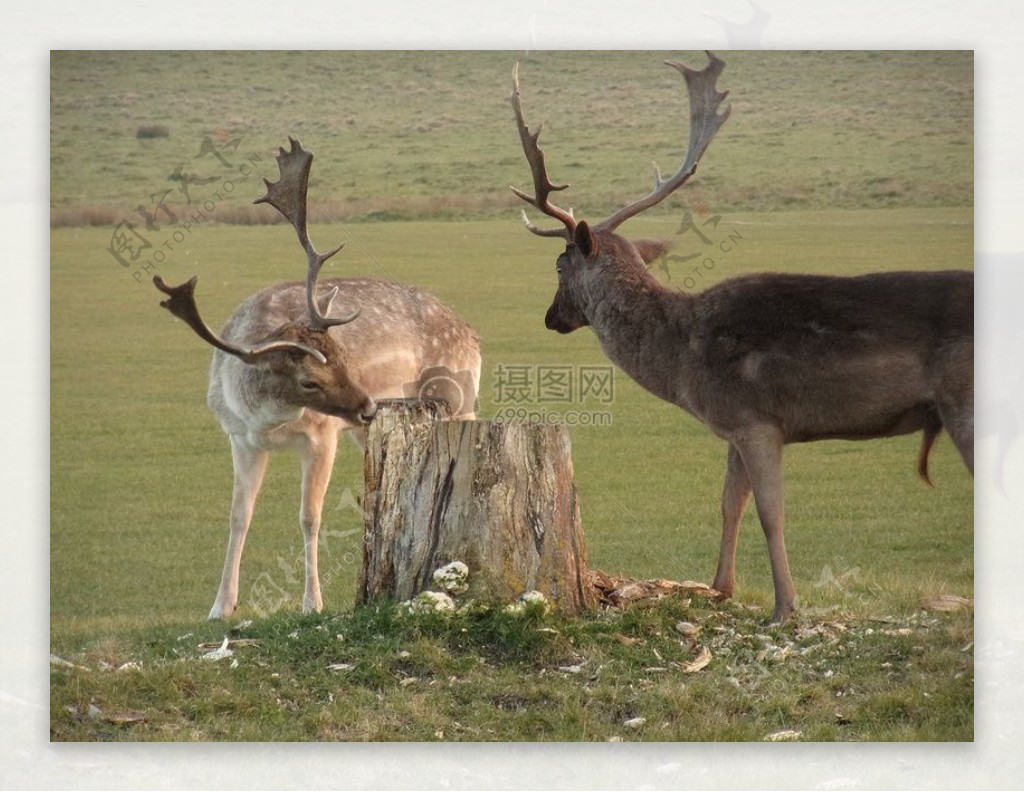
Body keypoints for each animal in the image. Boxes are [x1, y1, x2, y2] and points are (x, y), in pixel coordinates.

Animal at [156, 137, 483, 618]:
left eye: (342, 355)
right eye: (309, 380)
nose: (367, 405)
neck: (268, 420)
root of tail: (471, 333)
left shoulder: (322, 435)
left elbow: (310, 517)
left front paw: (313, 603)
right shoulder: (240, 439)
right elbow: (238, 517)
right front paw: (220, 607)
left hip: (457, 398)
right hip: (374, 428)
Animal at [512, 54, 974, 622]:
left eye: (558, 266)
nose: (550, 317)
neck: (682, 358)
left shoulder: (758, 420)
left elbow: (771, 513)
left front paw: (784, 606)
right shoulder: (732, 426)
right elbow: (729, 503)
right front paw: (719, 588)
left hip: (965, 398)